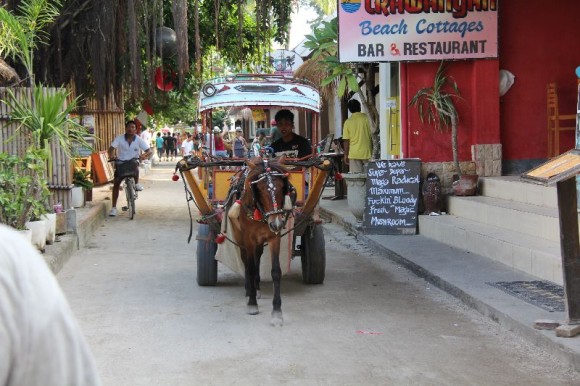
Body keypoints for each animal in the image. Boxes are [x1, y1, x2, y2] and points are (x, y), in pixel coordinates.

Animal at [225, 157, 296, 326]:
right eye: (260, 189)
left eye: (282, 187)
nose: (276, 223)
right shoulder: (249, 239)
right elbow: (250, 268)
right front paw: (252, 304)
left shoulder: (274, 237)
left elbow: (275, 271)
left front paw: (276, 311)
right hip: (240, 237)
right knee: (246, 261)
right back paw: (248, 290)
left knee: (257, 258)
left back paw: (256, 288)